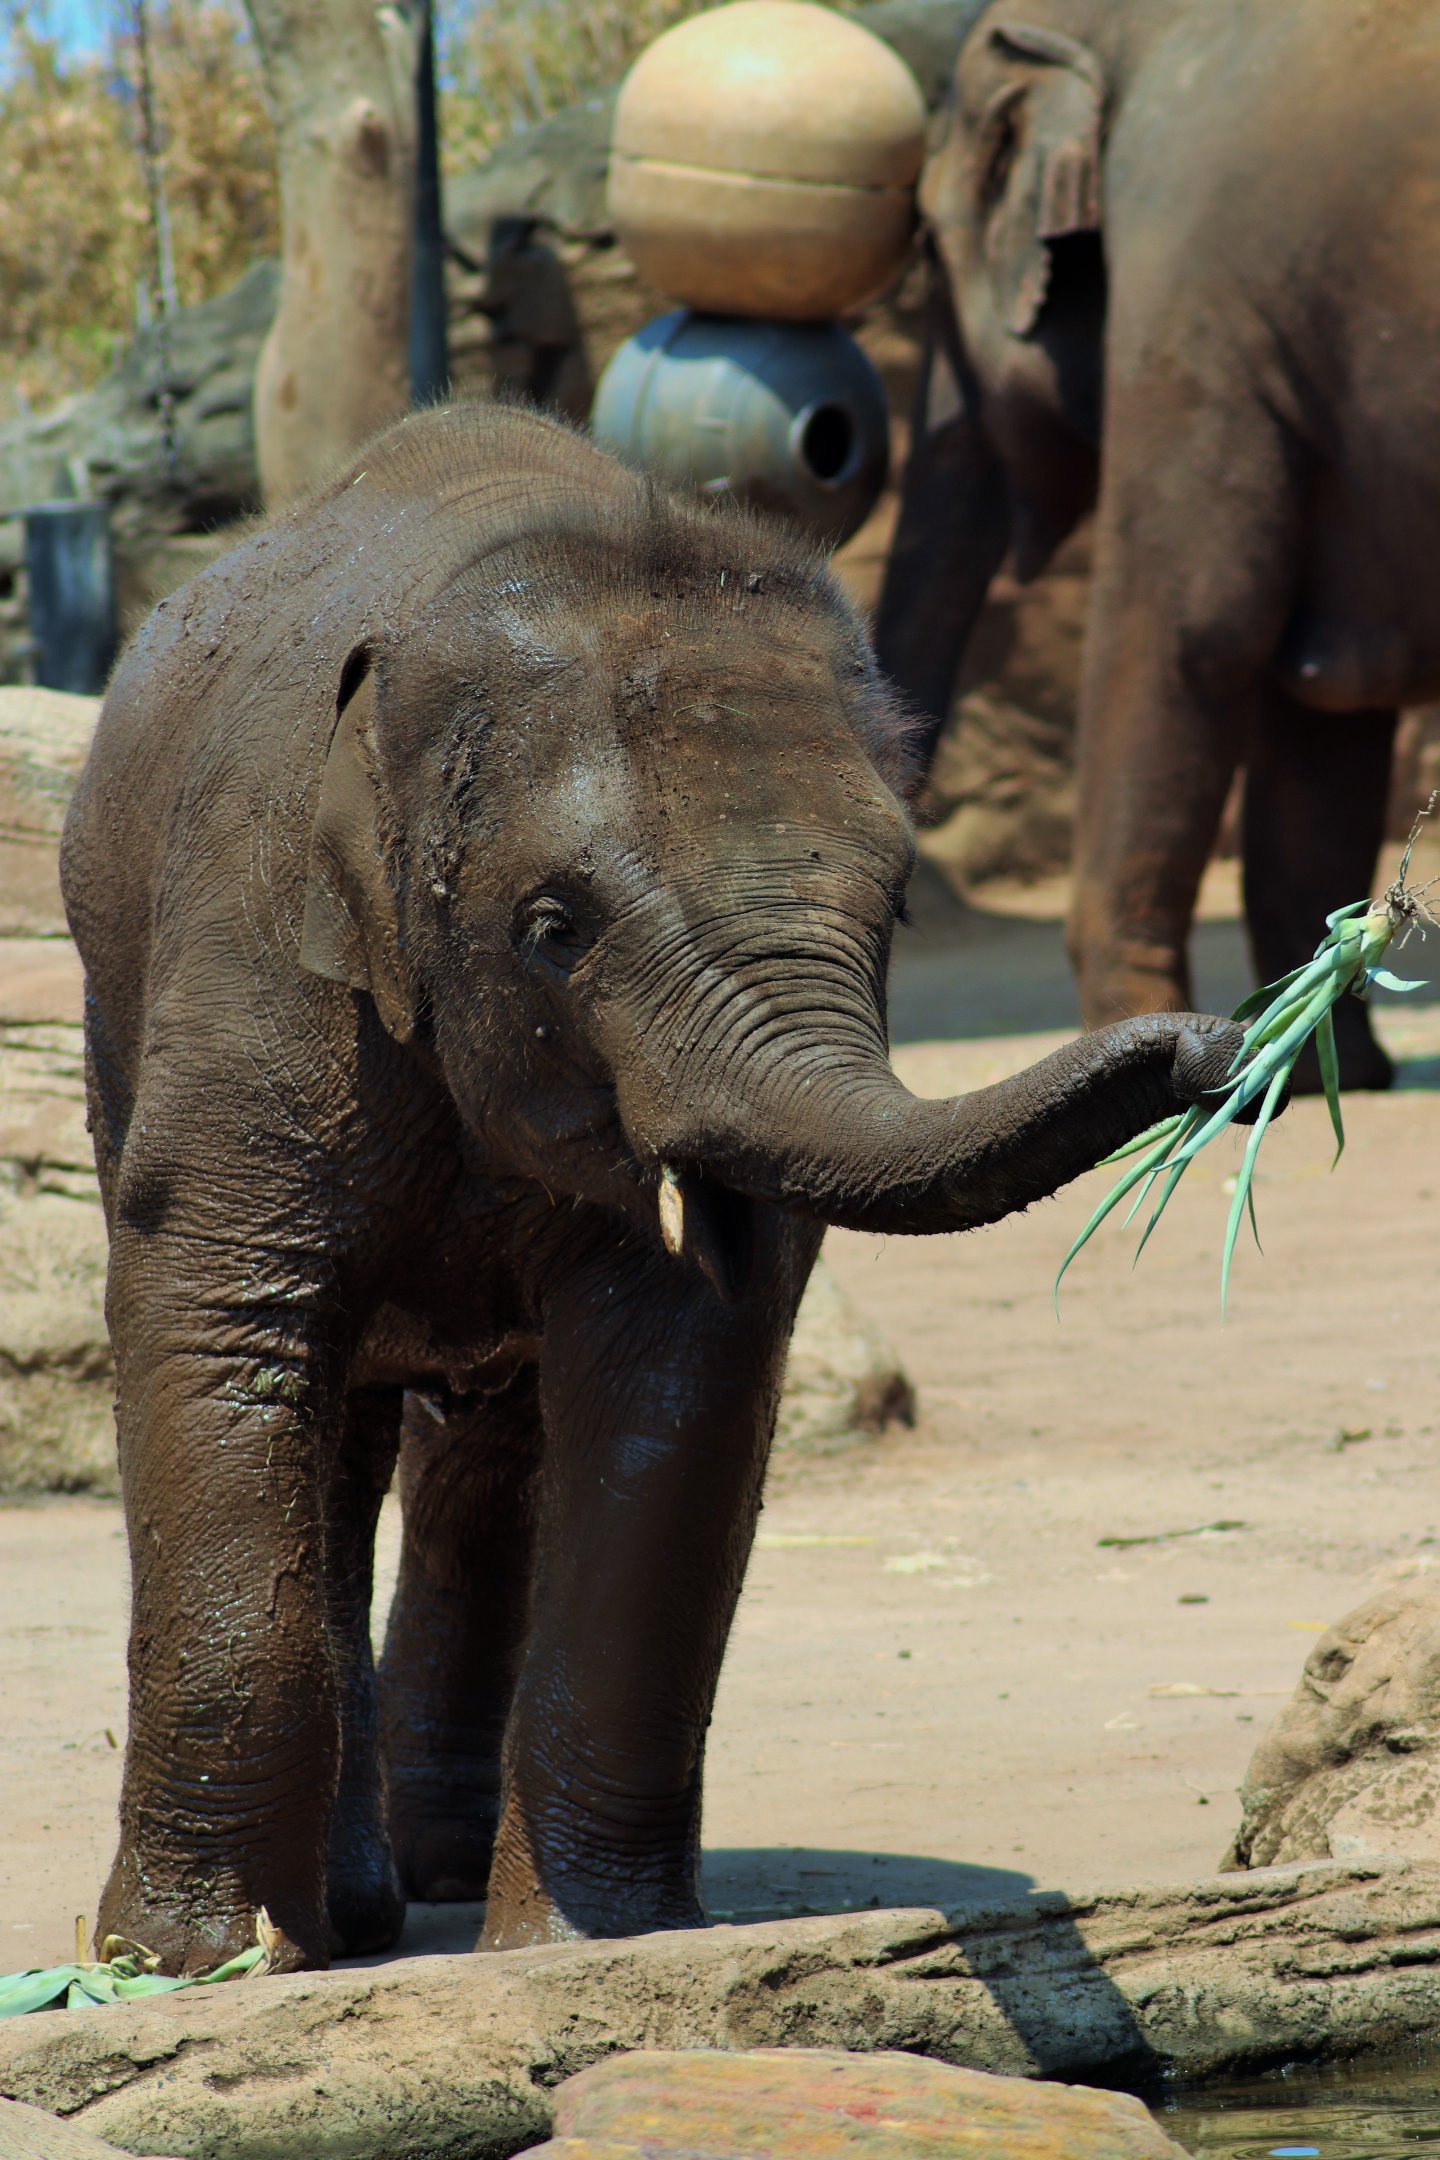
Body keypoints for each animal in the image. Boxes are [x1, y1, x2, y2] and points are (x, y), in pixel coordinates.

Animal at [61, 400, 1248, 1973]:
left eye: (897, 905)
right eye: (552, 925)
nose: (1210, 1042)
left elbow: (683, 1359)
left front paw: (588, 1947)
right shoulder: (258, 949)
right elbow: (220, 1323)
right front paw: (187, 1970)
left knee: (476, 1450)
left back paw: (426, 1887)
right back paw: (347, 1921)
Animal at [876, 0, 1440, 1089]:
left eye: (930, 250)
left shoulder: (1191, 297)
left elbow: (1191, 632)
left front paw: (1157, 1060)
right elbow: (1323, 706)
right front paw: (1320, 1065)